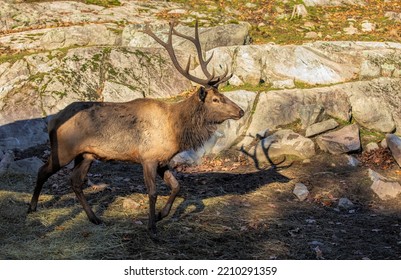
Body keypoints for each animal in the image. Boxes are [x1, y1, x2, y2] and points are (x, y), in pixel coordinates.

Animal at [28, 21, 244, 234]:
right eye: (216, 99)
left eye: (223, 95)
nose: (241, 111)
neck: (175, 131)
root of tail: (53, 120)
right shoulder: (148, 157)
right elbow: (153, 192)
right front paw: (152, 227)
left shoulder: (162, 160)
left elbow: (176, 186)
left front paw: (161, 215)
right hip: (64, 149)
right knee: (43, 170)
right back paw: (32, 207)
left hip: (86, 155)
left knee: (75, 181)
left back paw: (94, 218)